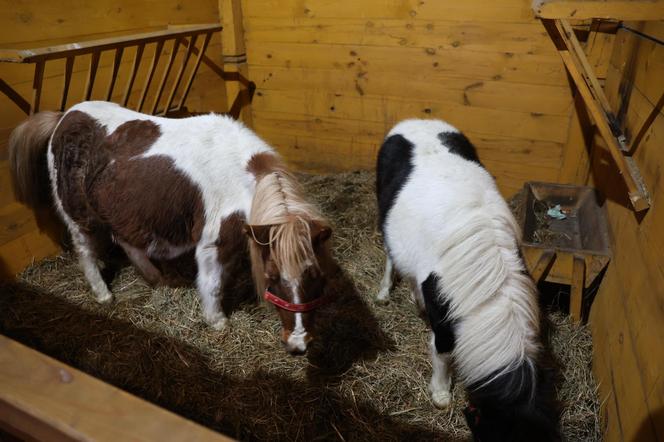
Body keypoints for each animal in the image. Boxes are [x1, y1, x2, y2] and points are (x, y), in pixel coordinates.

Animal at [7, 102, 334, 354]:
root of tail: (63, 117)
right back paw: (103, 295)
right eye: (273, 277)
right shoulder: (210, 242)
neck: (240, 177)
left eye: (318, 278)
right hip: (78, 217)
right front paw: (217, 321)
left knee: (127, 242)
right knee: (86, 251)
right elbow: (212, 283)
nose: (299, 345)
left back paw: (157, 278)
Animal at [376, 119, 556, 440]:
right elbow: (443, 351)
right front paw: (440, 393)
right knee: (389, 254)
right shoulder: (444, 319)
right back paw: (384, 292)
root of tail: (414, 122)